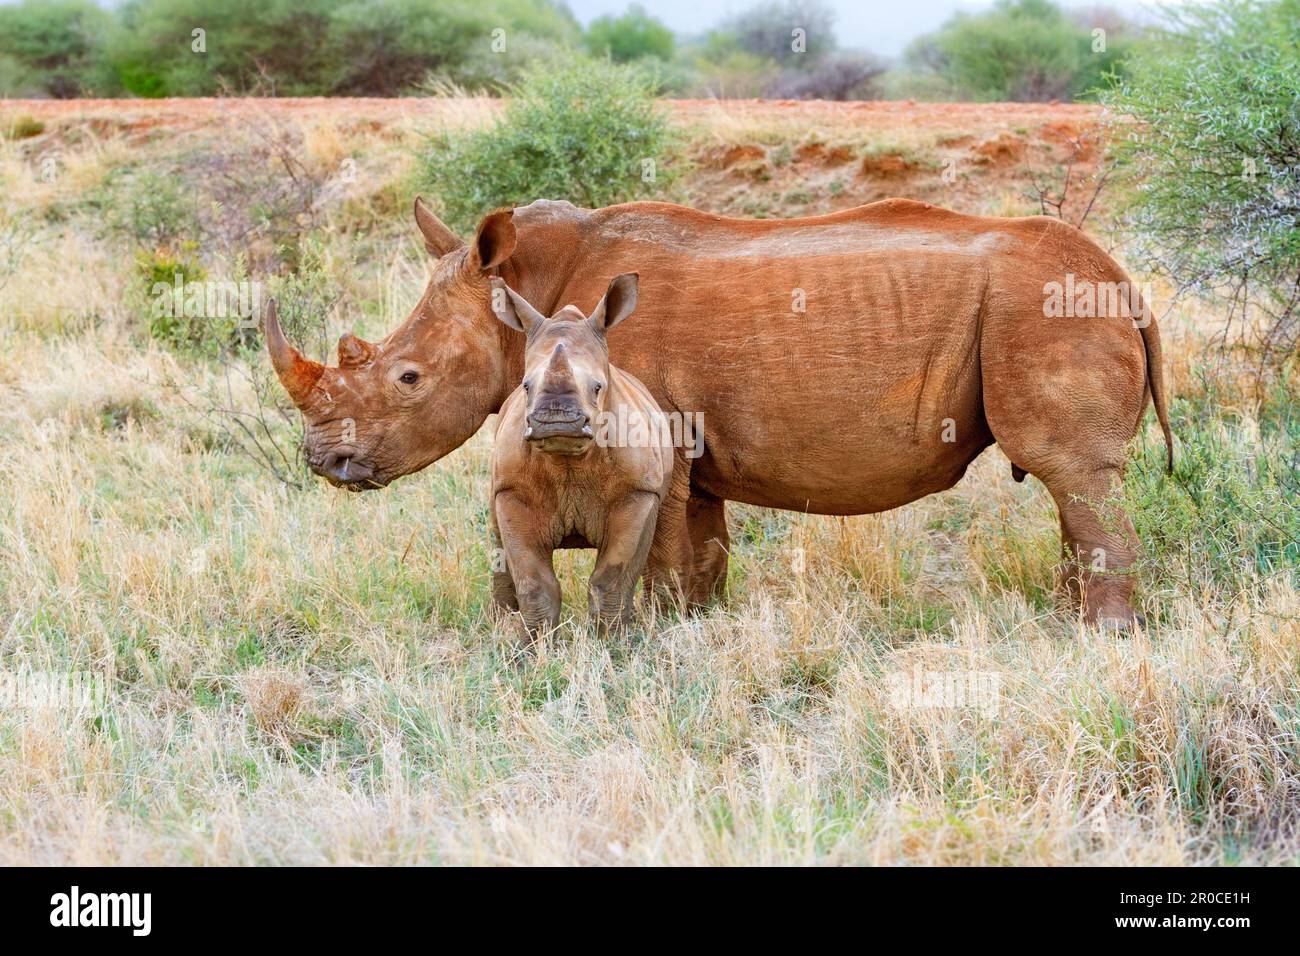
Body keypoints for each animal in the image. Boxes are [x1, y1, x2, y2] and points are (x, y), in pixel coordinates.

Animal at [486, 274, 670, 634]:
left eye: (598, 388)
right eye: (525, 386)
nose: (556, 421)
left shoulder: (638, 491)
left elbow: (611, 578)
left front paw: (613, 641)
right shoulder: (512, 491)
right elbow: (535, 582)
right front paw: (532, 645)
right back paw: (500, 621)